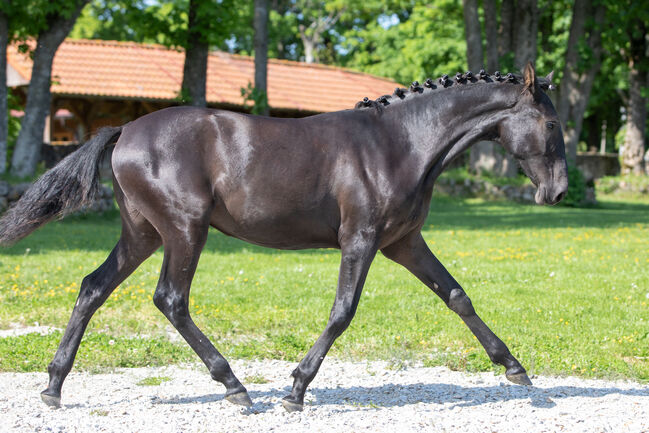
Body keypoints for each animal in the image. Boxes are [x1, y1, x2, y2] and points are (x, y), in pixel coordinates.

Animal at [0, 62, 564, 410]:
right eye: (553, 124)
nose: (557, 193)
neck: (400, 144)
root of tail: (124, 132)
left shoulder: (403, 242)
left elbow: (457, 296)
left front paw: (515, 368)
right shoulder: (360, 239)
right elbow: (342, 311)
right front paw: (296, 389)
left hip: (143, 234)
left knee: (93, 288)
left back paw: (53, 386)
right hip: (184, 230)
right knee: (170, 299)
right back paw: (235, 387)